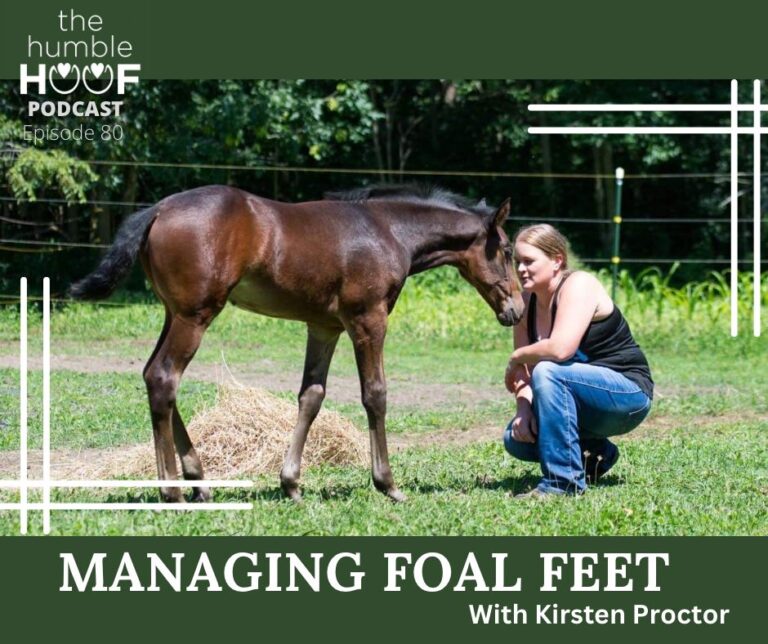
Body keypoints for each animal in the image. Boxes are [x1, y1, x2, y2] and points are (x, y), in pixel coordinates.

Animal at [70, 184, 525, 503]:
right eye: (505, 250)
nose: (517, 310)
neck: (389, 230)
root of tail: (158, 209)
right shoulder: (368, 320)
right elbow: (375, 394)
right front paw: (388, 484)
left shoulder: (323, 326)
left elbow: (312, 395)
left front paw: (290, 484)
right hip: (194, 315)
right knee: (165, 378)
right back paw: (173, 490)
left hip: (174, 313)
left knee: (154, 376)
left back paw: (199, 481)